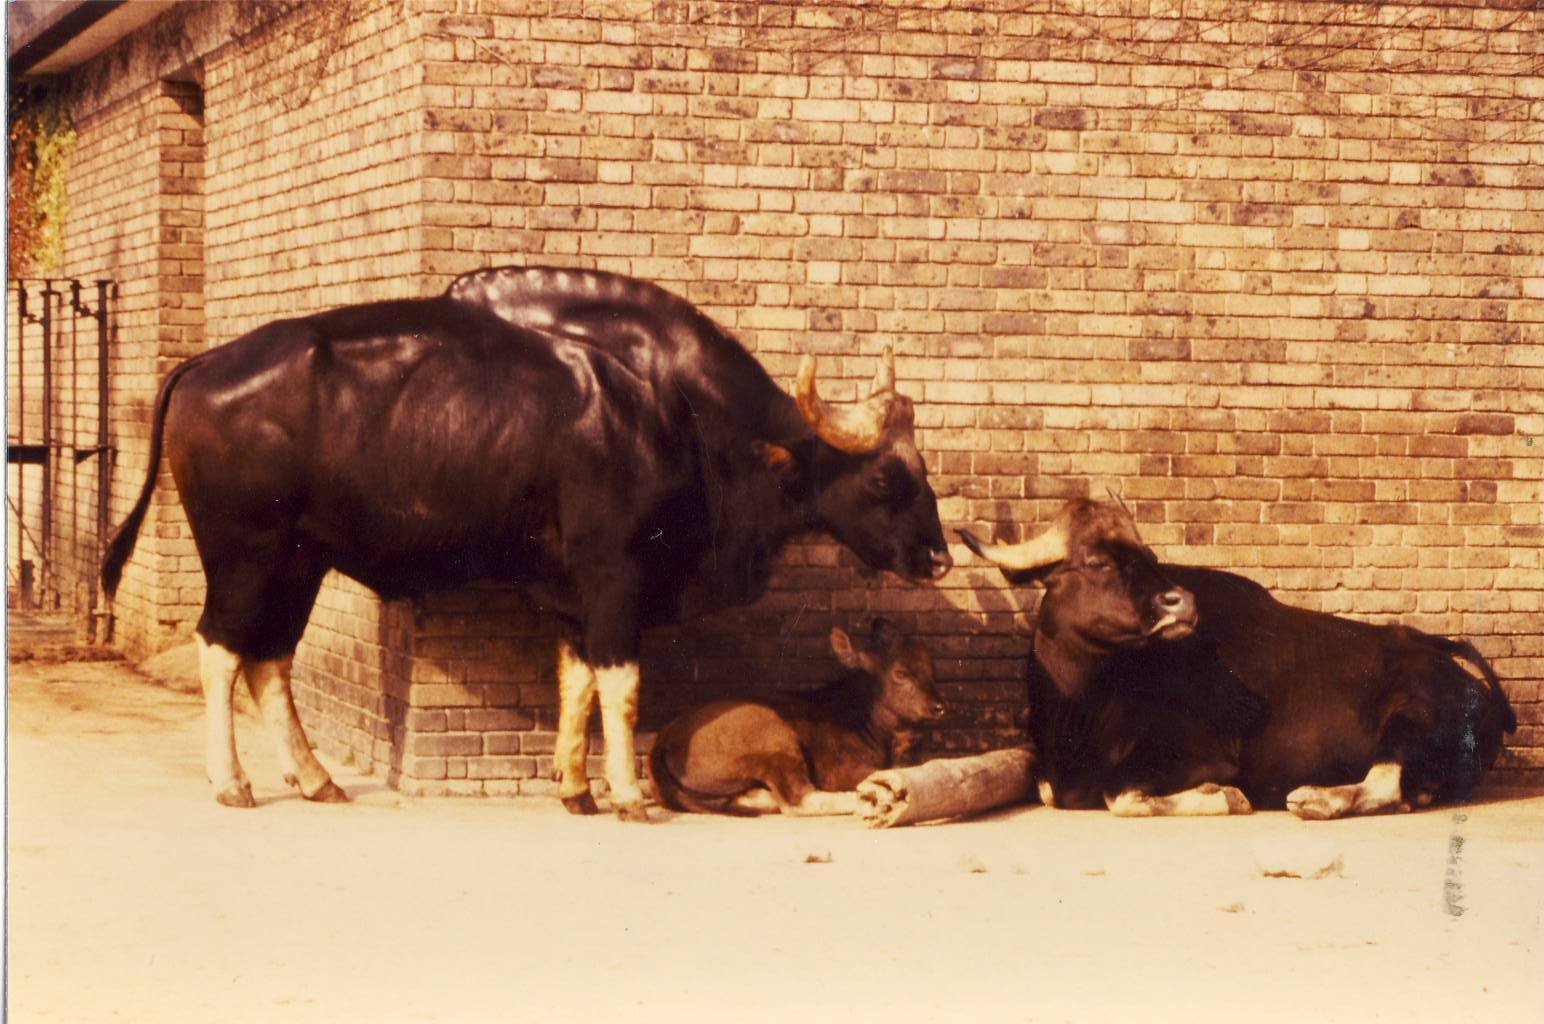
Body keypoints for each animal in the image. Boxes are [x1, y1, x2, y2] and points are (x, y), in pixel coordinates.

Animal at [648, 617, 945, 816]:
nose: (938, 706)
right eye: (901, 673)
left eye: (931, 667)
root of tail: (663, 740)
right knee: (798, 799)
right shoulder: (842, 770)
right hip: (776, 742)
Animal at [958, 498, 1516, 820]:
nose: (1180, 602)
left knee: (1384, 781)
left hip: (1410, 718)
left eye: (1150, 558)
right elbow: (1051, 792)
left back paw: (1316, 799)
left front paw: (1224, 796)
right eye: (1096, 561)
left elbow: (1120, 796)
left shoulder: (1199, 752)